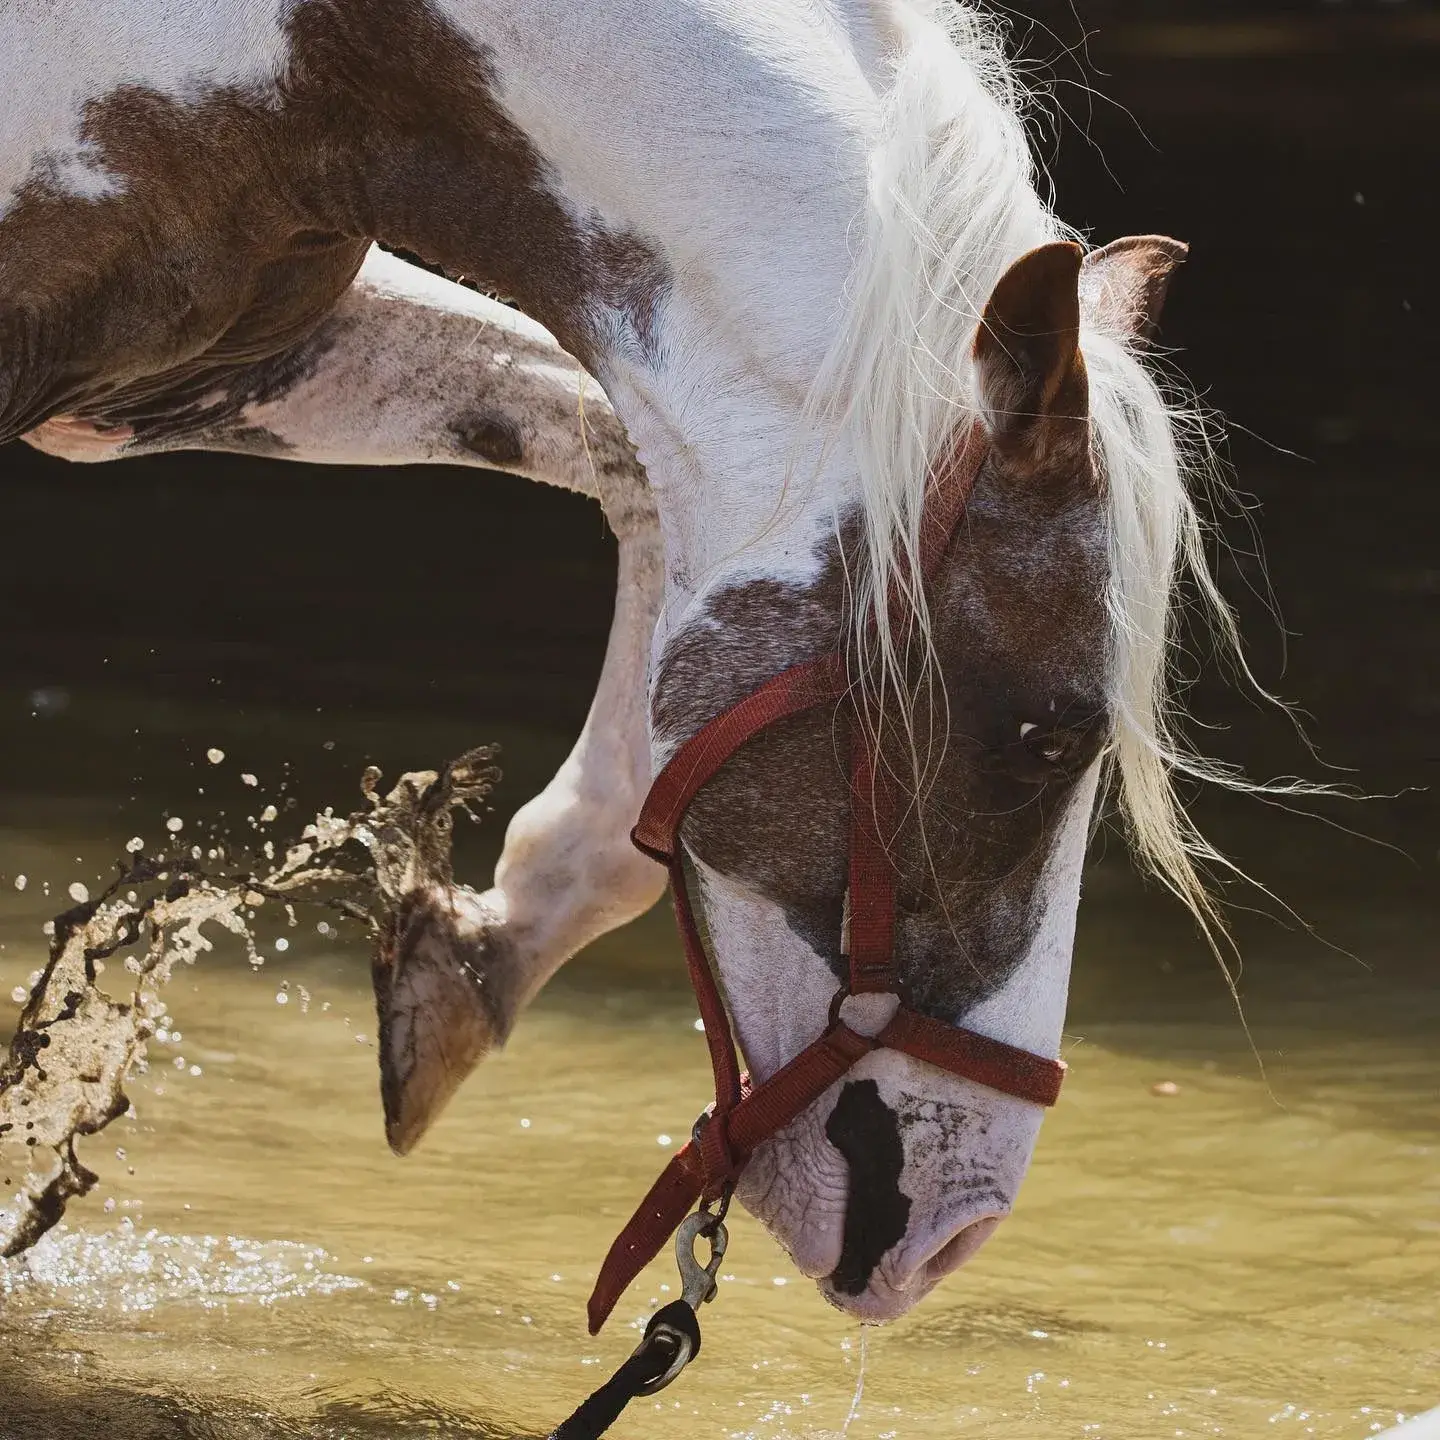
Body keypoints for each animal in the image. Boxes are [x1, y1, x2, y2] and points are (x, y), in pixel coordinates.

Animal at [2, 0, 1232, 1326]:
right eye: (1045, 734)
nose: (958, 1236)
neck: (319, 56)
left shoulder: (212, 358)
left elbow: (616, 449)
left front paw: (477, 952)